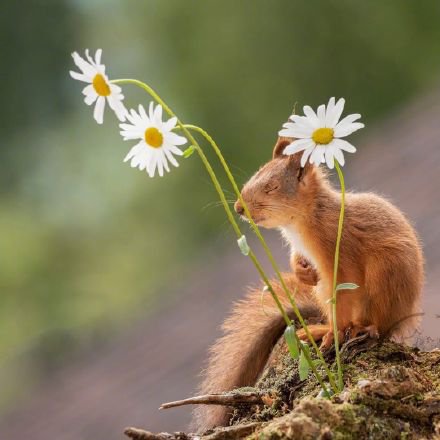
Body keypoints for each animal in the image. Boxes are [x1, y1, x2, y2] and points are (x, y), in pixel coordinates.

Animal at [194, 136, 424, 432]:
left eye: (272, 187)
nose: (238, 209)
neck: (306, 217)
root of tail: (402, 318)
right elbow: (298, 259)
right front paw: (302, 271)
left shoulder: (339, 251)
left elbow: (344, 287)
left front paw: (336, 333)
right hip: (323, 291)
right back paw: (318, 329)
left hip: (384, 278)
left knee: (375, 325)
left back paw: (358, 329)